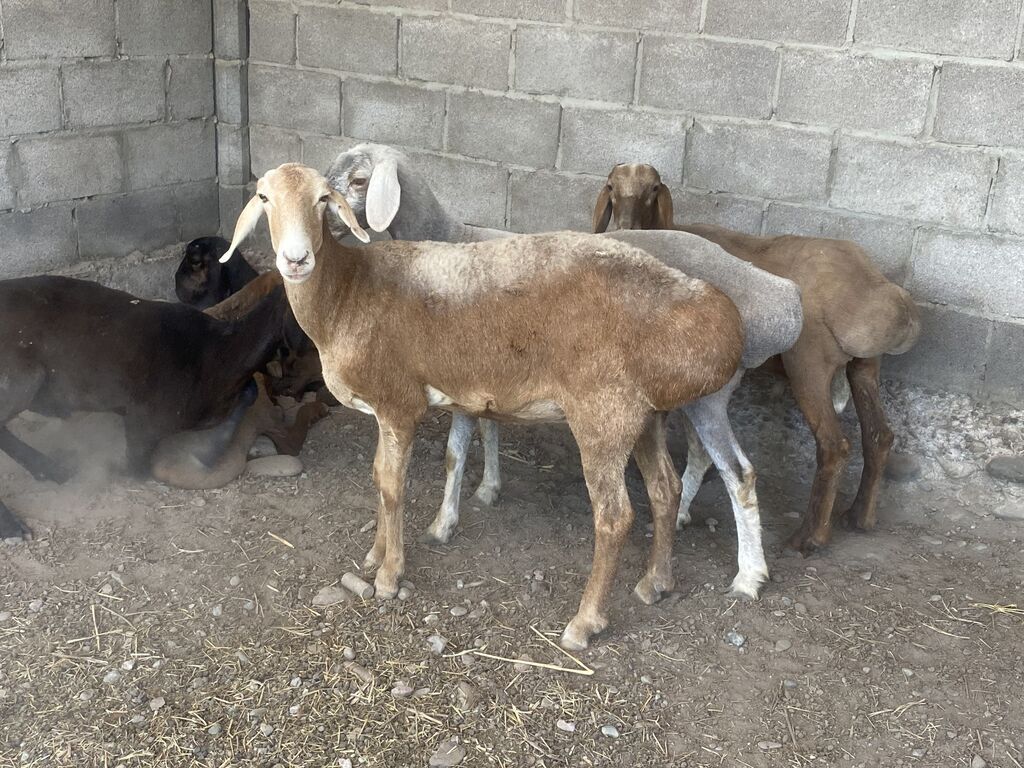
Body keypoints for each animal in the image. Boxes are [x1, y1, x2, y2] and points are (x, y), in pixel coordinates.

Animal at [0, 275, 287, 539]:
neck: (219, 354)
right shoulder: (143, 421)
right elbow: (137, 469)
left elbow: (249, 392)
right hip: (23, 378)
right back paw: (13, 525)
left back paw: (49, 469)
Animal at [220, 162, 747, 650]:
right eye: (264, 198)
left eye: (323, 200)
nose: (295, 260)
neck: (347, 294)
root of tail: (717, 318)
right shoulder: (385, 412)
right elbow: (378, 478)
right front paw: (374, 554)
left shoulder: (399, 403)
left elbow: (391, 485)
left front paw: (389, 575)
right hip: (645, 415)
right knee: (665, 490)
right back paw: (655, 582)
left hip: (604, 414)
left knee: (615, 516)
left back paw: (584, 623)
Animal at [325, 144, 802, 590]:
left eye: (360, 181)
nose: (327, 223)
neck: (449, 237)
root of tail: (783, 300)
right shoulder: (480, 374)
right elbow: (477, 437)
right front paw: (483, 492)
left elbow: (458, 449)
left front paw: (448, 518)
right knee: (714, 462)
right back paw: (688, 527)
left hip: (707, 395)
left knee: (737, 473)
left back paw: (748, 575)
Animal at [592, 162, 922, 553]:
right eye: (611, 186)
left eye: (655, 189)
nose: (622, 225)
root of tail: (883, 295)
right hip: (865, 367)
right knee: (879, 435)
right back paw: (860, 517)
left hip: (809, 364)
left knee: (834, 446)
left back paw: (809, 537)